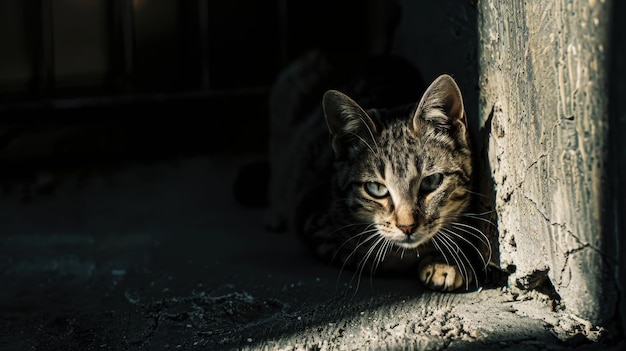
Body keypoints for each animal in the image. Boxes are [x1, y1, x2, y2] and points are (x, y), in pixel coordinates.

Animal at [264, 51, 488, 292]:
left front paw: (449, 258)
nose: (407, 227)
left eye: (431, 182)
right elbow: (384, 256)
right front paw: (441, 259)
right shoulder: (319, 226)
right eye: (376, 188)